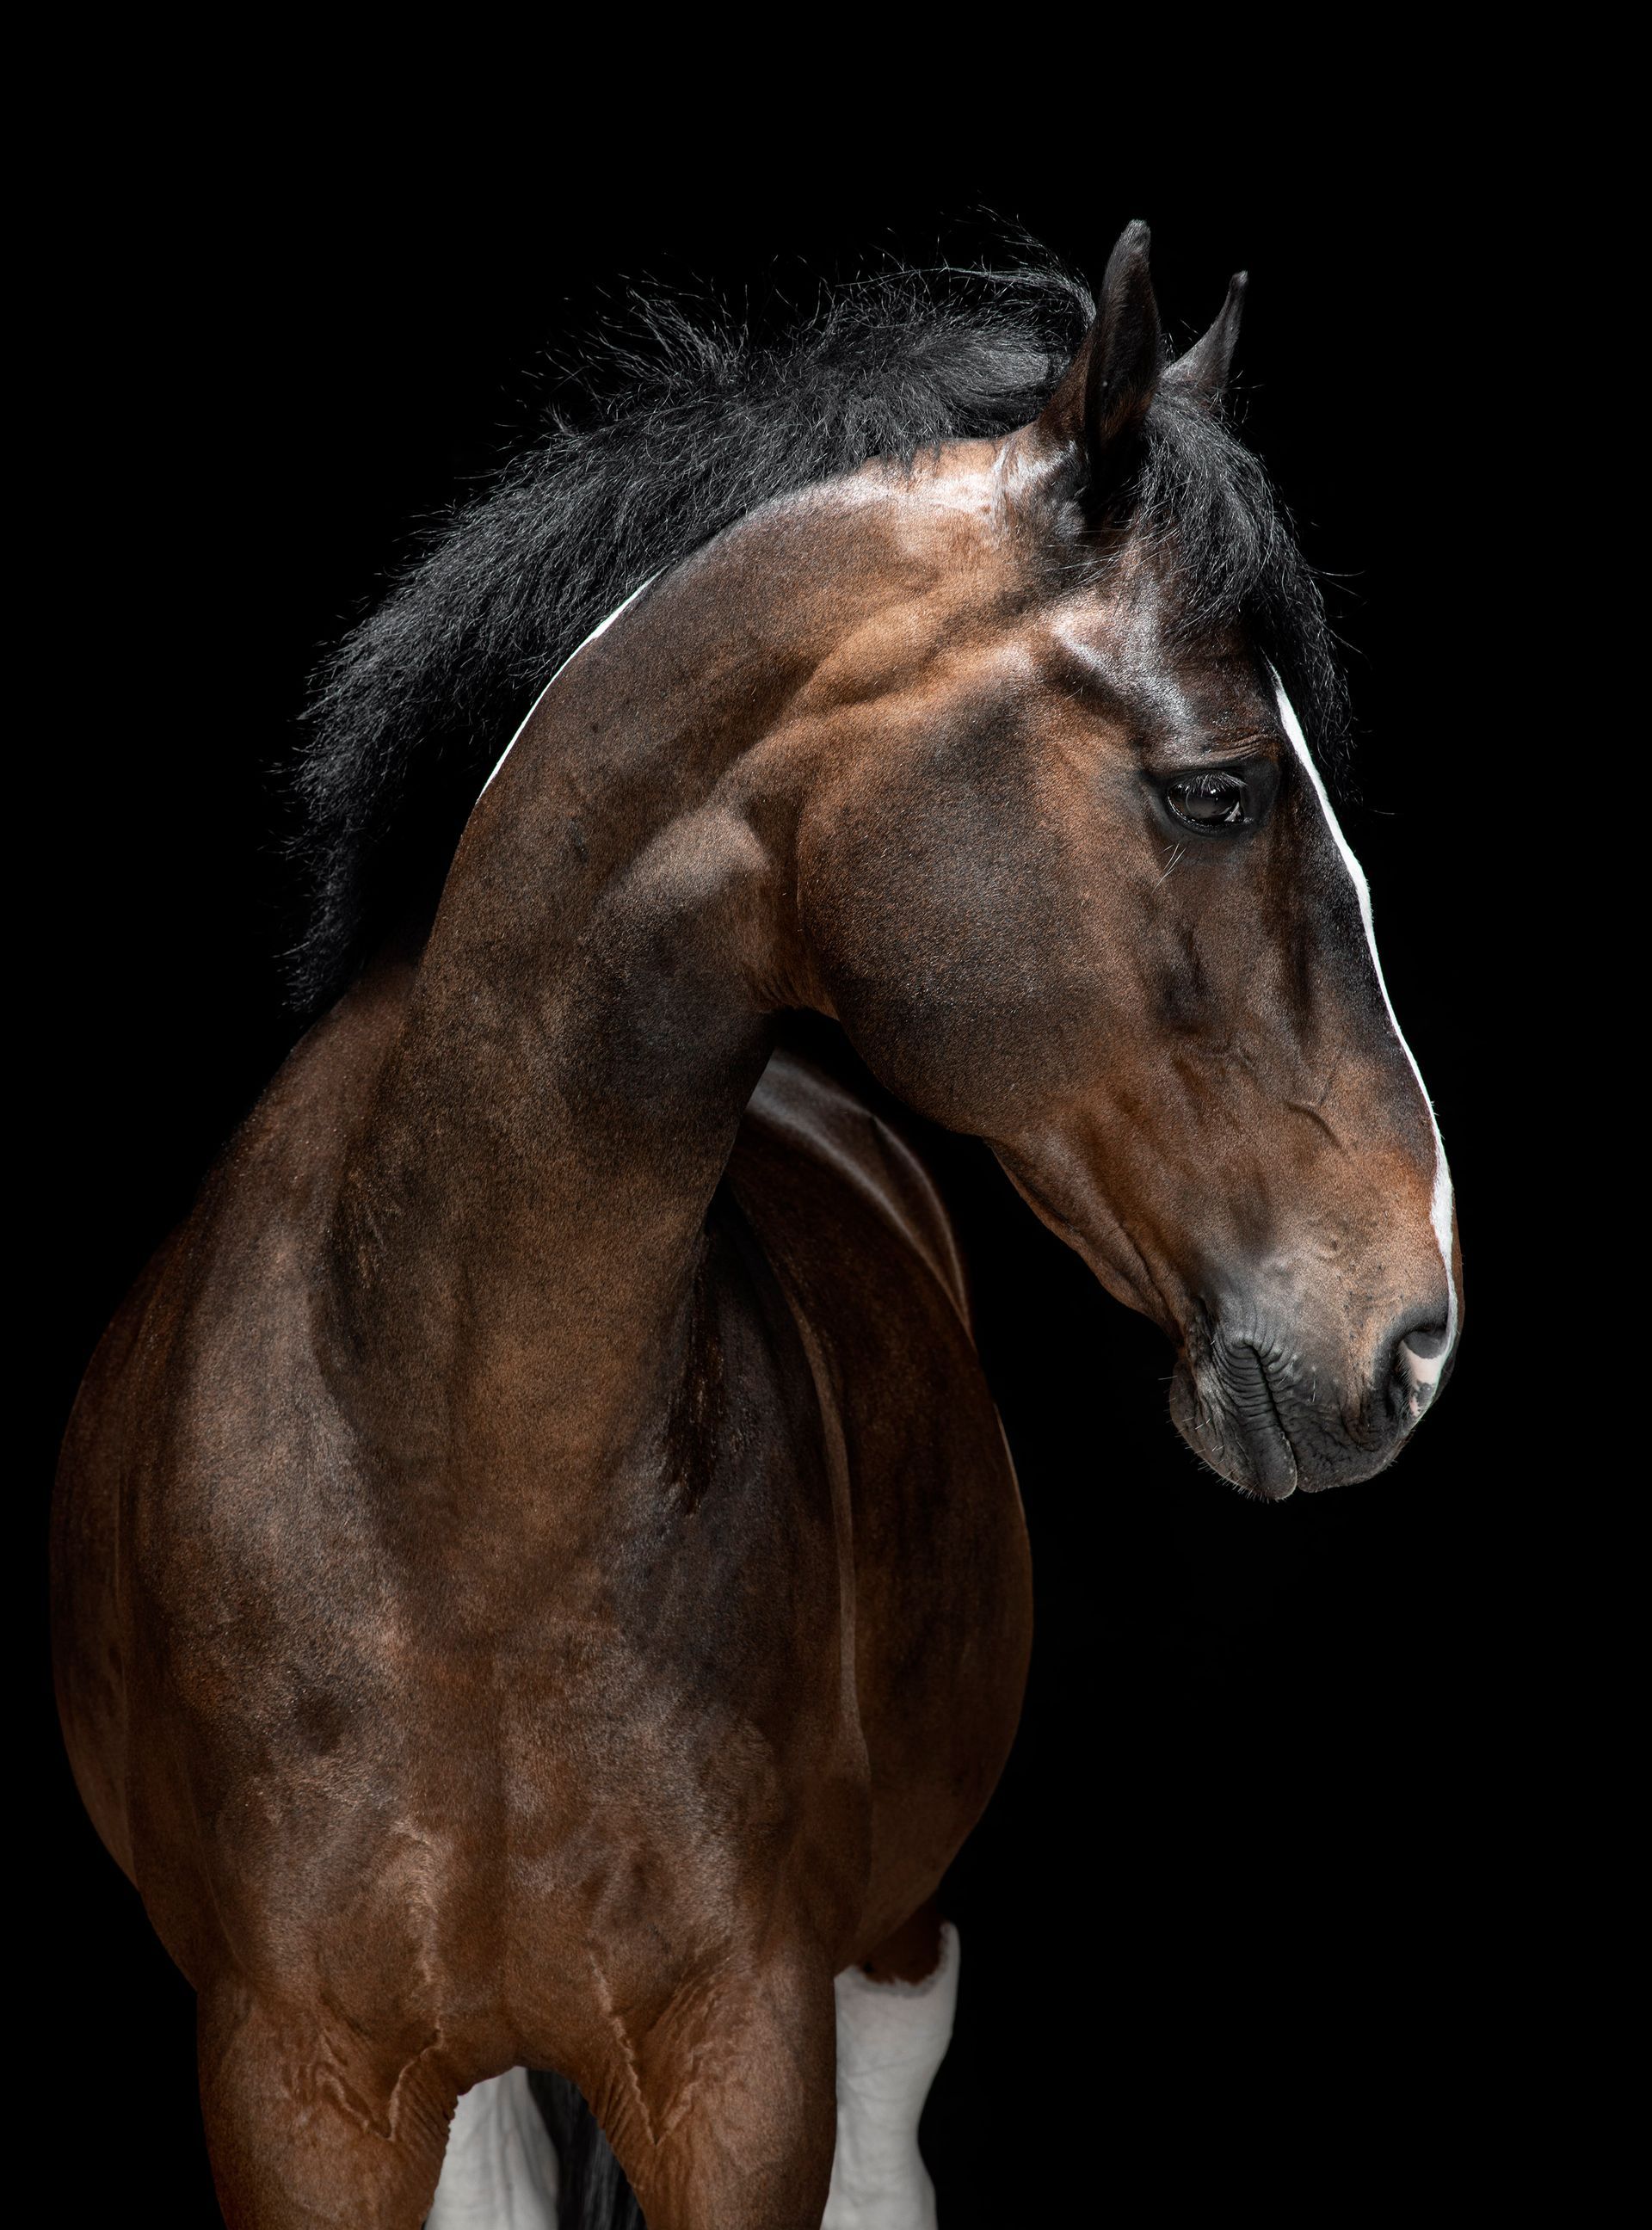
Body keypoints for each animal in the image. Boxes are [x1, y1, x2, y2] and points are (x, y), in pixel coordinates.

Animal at [48, 231, 1453, 2230]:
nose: (1411, 1328)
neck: (454, 1500)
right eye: (1218, 789)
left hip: (892, 1958)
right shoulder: (296, 2090)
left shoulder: (744, 2066)